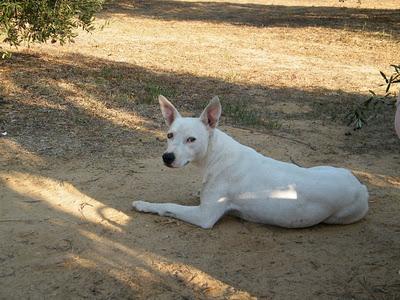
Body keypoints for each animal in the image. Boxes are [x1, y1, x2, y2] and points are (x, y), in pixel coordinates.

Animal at [133, 95, 370, 229]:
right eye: (169, 135)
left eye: (191, 139)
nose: (167, 157)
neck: (215, 154)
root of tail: (361, 187)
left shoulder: (204, 216)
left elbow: (169, 206)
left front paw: (144, 205)